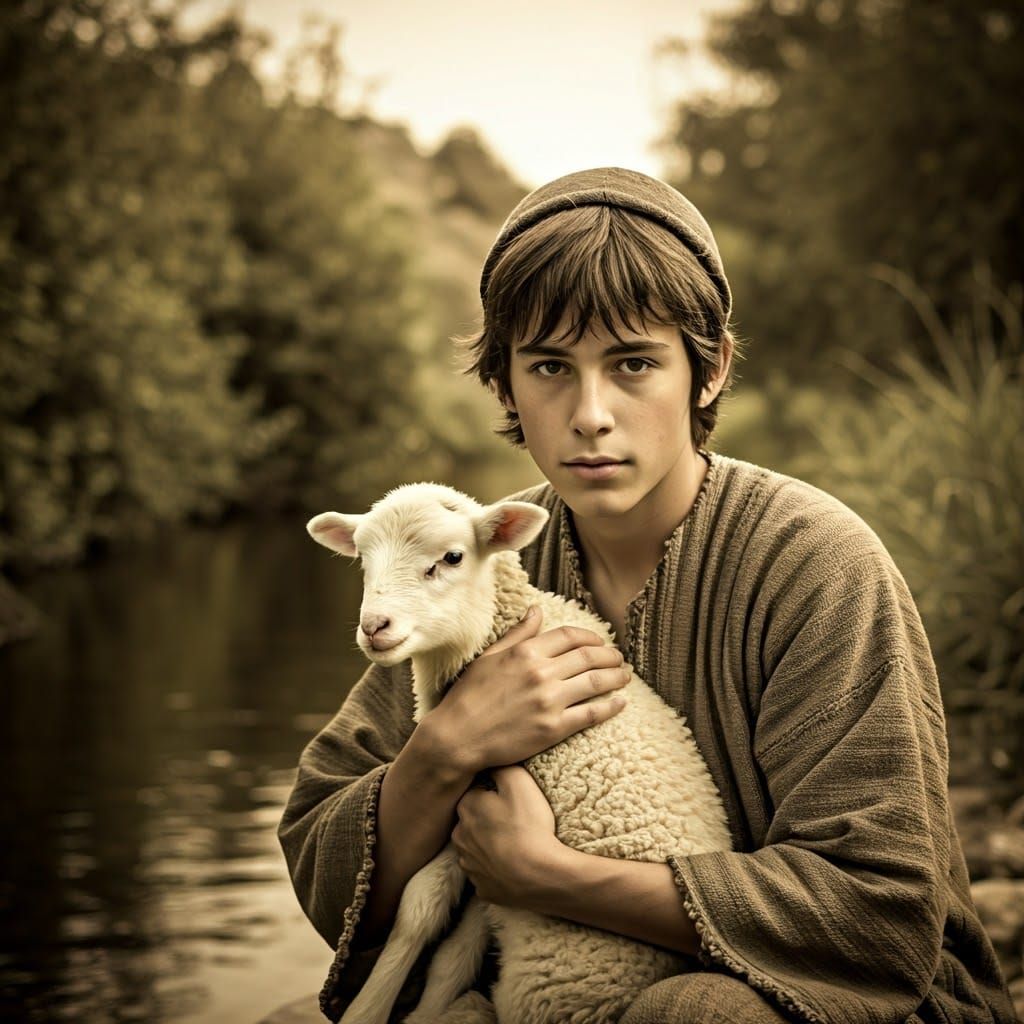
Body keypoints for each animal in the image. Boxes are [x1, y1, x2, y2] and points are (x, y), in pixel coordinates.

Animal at [307, 482, 732, 1024]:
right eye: (362, 558)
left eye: (452, 557)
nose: (375, 626)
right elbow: (446, 939)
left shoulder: (484, 798)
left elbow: (422, 907)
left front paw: (367, 1009)